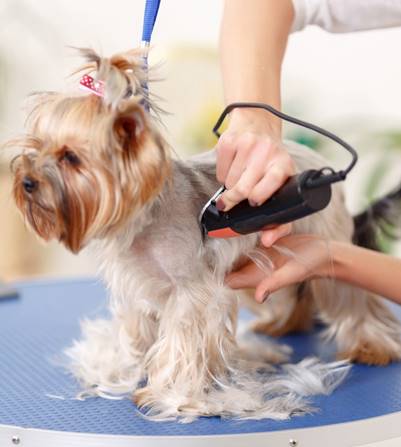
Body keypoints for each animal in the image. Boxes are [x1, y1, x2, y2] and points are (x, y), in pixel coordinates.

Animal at [7, 50, 400, 424]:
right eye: (37, 147)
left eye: (70, 157)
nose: (26, 182)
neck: (143, 218)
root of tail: (319, 168)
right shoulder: (139, 287)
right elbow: (137, 331)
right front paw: (128, 368)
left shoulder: (191, 292)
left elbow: (182, 342)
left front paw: (170, 395)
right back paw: (284, 324)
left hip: (326, 245)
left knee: (351, 297)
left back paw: (373, 347)